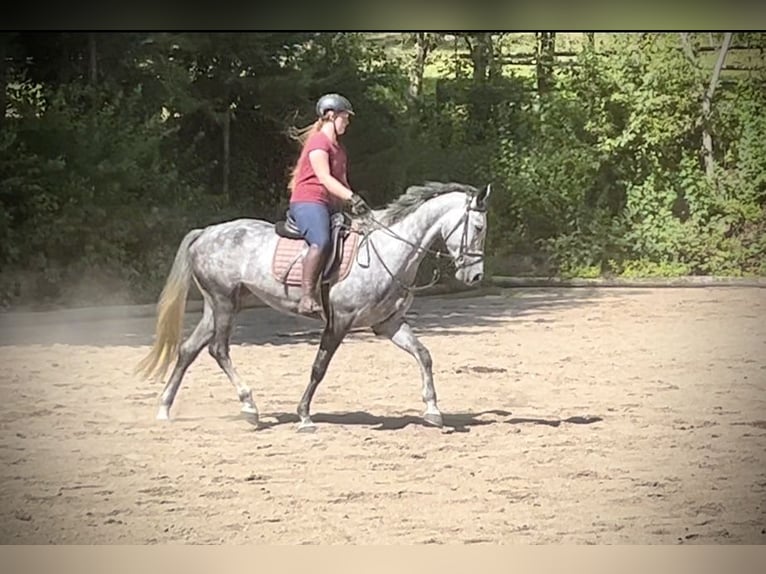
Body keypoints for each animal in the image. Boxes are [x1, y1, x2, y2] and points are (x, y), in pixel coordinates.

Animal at [136, 181, 492, 432]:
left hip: (218, 305)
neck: (389, 251)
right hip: (224, 303)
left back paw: (164, 409)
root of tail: (206, 232)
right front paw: (304, 416)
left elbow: (424, 355)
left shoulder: (388, 322)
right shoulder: (340, 321)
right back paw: (249, 406)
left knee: (188, 350)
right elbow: (319, 367)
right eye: (477, 228)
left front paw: (433, 410)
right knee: (218, 350)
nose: (475, 277)